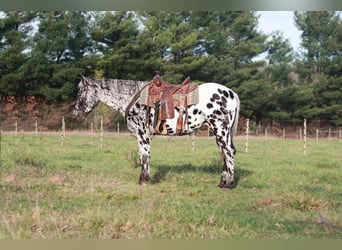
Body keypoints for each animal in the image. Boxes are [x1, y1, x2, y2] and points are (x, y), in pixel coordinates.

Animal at [74, 75, 240, 188]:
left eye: (80, 91)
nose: (76, 115)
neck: (135, 99)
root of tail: (232, 93)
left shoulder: (143, 134)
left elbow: (144, 156)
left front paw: (144, 179)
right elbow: (143, 156)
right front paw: (144, 178)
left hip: (221, 130)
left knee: (229, 151)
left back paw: (228, 183)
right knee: (225, 153)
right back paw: (223, 180)